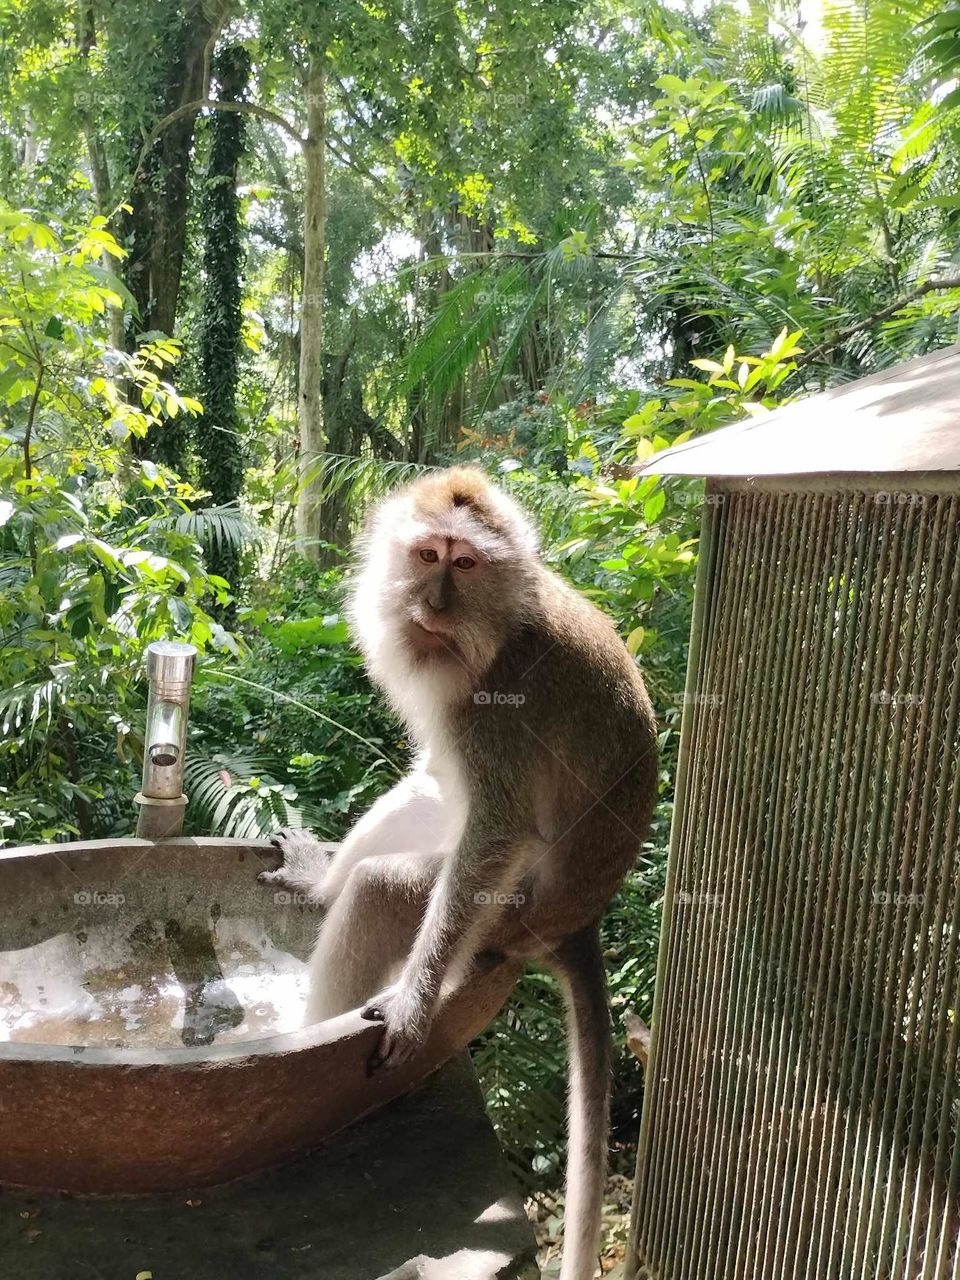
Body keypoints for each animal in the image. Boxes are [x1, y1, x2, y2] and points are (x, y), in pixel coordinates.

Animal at [260, 466, 658, 1280]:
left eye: (466, 564)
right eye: (426, 555)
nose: (433, 605)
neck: (496, 628)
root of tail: (580, 917)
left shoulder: (497, 706)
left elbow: (497, 827)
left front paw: (411, 1006)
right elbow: (437, 782)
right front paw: (318, 878)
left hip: (508, 914)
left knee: (388, 888)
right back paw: (323, 890)